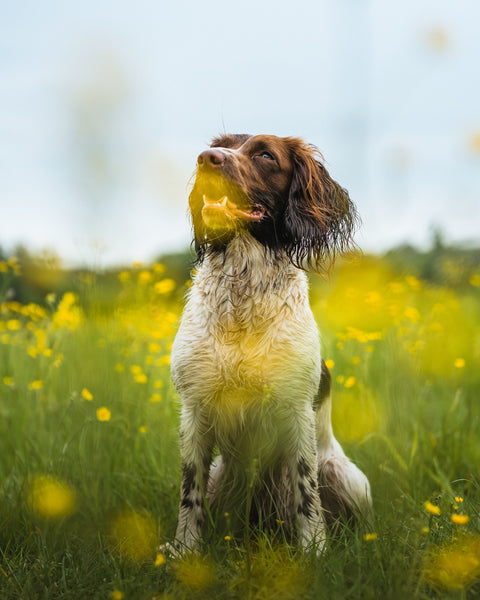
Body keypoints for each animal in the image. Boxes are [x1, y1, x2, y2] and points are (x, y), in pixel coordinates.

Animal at [168, 132, 372, 552]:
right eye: (218, 143)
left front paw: (314, 551)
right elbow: (189, 492)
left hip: (346, 476)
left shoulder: (296, 410)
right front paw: (184, 551)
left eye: (265, 155)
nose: (205, 158)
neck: (243, 291)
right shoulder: (194, 410)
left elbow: (305, 491)